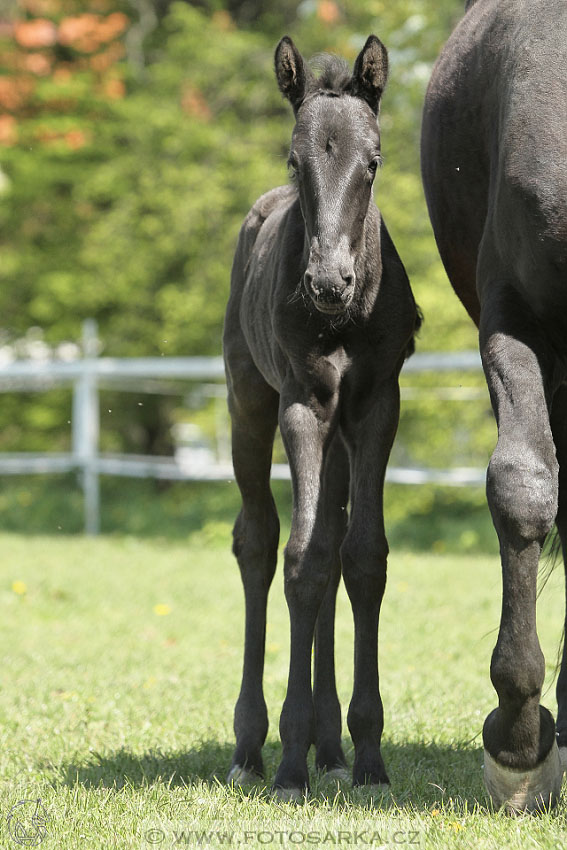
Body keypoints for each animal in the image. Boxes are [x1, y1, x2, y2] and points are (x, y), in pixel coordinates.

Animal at [223, 38, 422, 796]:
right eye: (294, 160)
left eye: (373, 162)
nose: (329, 282)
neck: (344, 319)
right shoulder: (303, 406)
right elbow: (300, 561)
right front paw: (288, 761)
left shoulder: (376, 407)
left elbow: (360, 557)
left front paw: (366, 756)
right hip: (247, 401)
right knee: (256, 541)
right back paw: (253, 746)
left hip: (339, 437)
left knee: (334, 544)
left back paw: (330, 746)